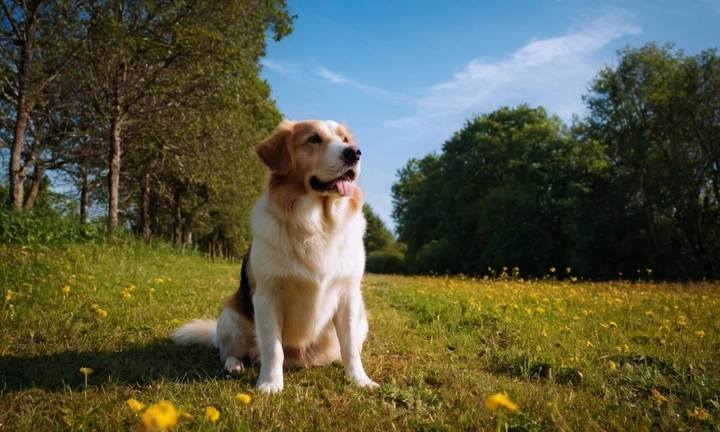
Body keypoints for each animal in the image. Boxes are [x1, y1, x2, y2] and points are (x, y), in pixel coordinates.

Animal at [172, 120, 380, 394]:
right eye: (313, 139)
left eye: (344, 139)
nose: (354, 153)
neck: (317, 225)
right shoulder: (267, 297)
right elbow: (273, 348)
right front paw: (270, 383)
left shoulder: (349, 296)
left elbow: (350, 348)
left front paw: (359, 380)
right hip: (230, 316)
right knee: (229, 351)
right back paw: (234, 366)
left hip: (362, 319)